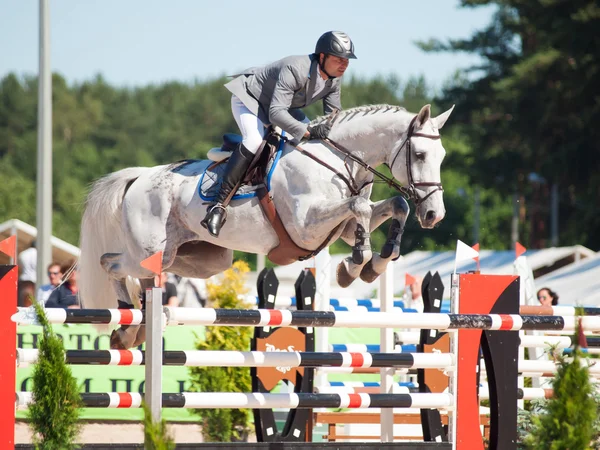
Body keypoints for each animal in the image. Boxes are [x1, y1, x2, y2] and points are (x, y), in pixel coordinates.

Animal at [81, 103, 454, 348]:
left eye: (442, 157)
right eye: (420, 155)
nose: (434, 215)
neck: (336, 161)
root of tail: (139, 177)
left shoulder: (343, 228)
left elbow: (396, 205)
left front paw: (374, 263)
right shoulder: (307, 227)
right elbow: (360, 207)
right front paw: (355, 266)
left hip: (197, 259)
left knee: (147, 276)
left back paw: (134, 329)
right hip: (150, 249)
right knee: (110, 263)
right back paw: (126, 323)